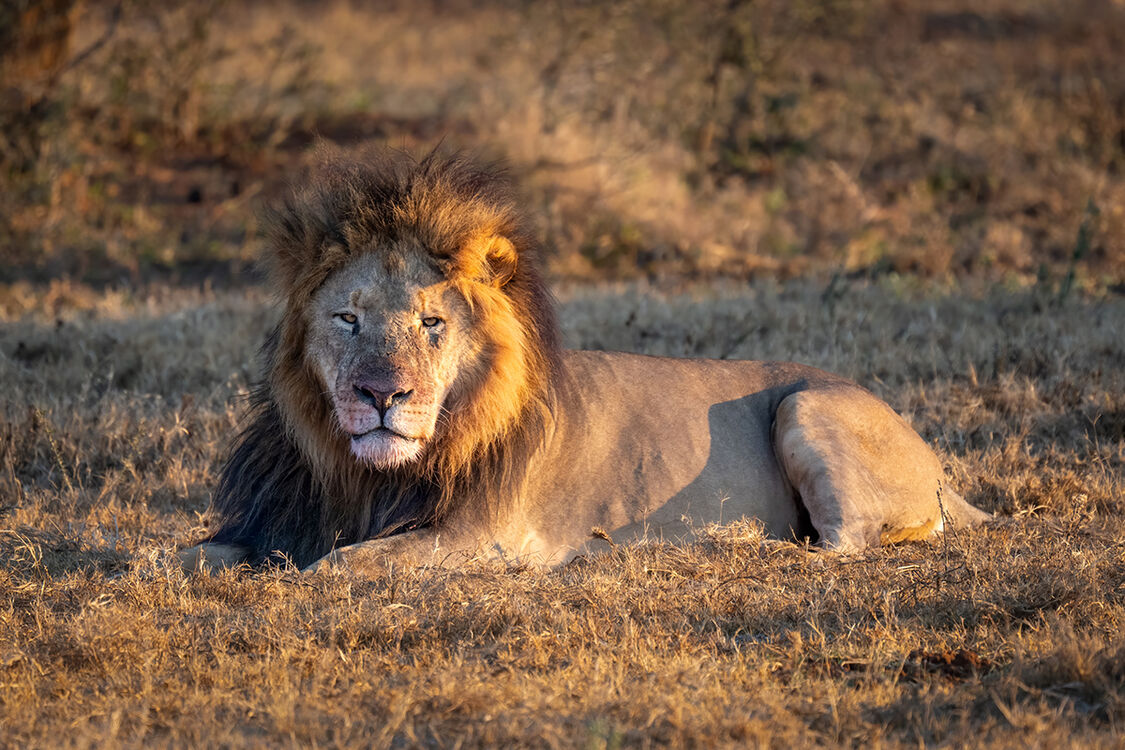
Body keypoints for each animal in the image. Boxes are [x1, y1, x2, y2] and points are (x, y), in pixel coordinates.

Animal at [179, 147, 989, 575]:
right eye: (347, 319)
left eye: (431, 322)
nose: (382, 395)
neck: (365, 475)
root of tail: (935, 459)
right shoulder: (282, 517)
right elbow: (186, 550)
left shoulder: (483, 536)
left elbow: (345, 562)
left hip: (807, 404)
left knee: (848, 543)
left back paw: (741, 548)